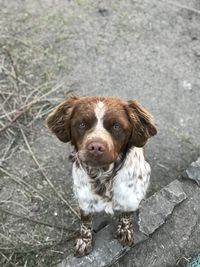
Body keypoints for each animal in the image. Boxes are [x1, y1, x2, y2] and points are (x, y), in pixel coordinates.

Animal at [46, 96, 157, 258]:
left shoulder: (131, 197)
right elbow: (85, 223)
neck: (103, 176)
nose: (96, 147)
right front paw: (84, 241)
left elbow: (127, 215)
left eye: (116, 126)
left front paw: (125, 231)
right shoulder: (84, 199)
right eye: (82, 124)